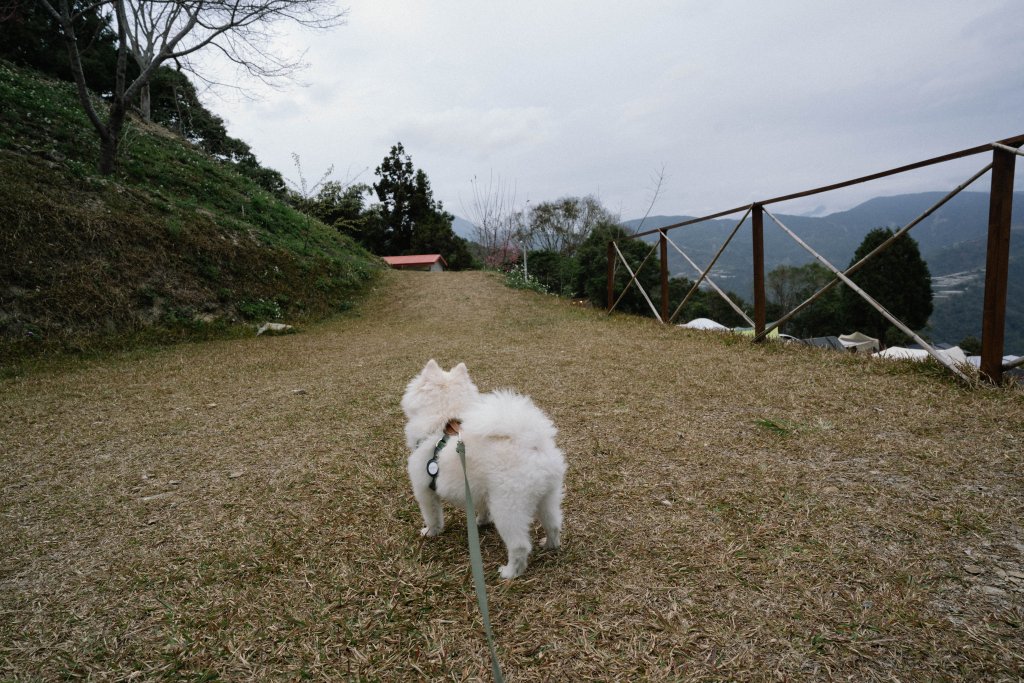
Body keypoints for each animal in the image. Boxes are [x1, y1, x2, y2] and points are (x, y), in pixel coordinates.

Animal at [403, 360, 569, 581]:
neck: (443, 426)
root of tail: (532, 444)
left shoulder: (425, 491)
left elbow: (432, 516)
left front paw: (430, 532)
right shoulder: (478, 491)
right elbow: (482, 509)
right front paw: (481, 522)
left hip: (508, 507)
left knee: (520, 546)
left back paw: (509, 573)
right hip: (548, 497)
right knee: (553, 524)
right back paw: (549, 545)